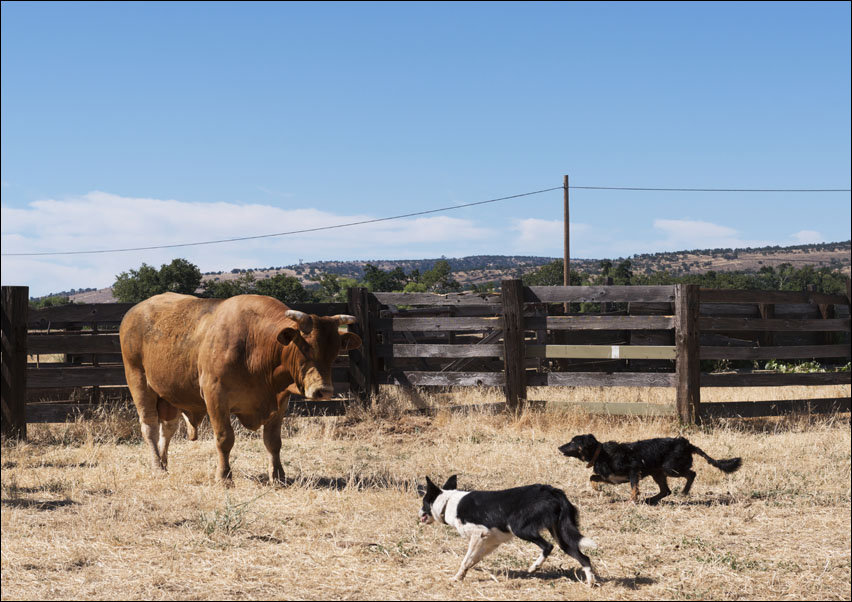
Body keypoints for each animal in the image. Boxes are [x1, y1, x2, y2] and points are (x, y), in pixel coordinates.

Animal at [119, 292, 362, 485]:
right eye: (305, 348)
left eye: (335, 352)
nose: (324, 390)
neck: (255, 344)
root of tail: (132, 312)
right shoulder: (215, 397)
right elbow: (225, 438)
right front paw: (224, 476)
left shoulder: (280, 402)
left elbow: (273, 442)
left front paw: (278, 476)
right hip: (139, 382)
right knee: (149, 427)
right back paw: (157, 467)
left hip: (169, 397)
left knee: (167, 429)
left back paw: (163, 462)